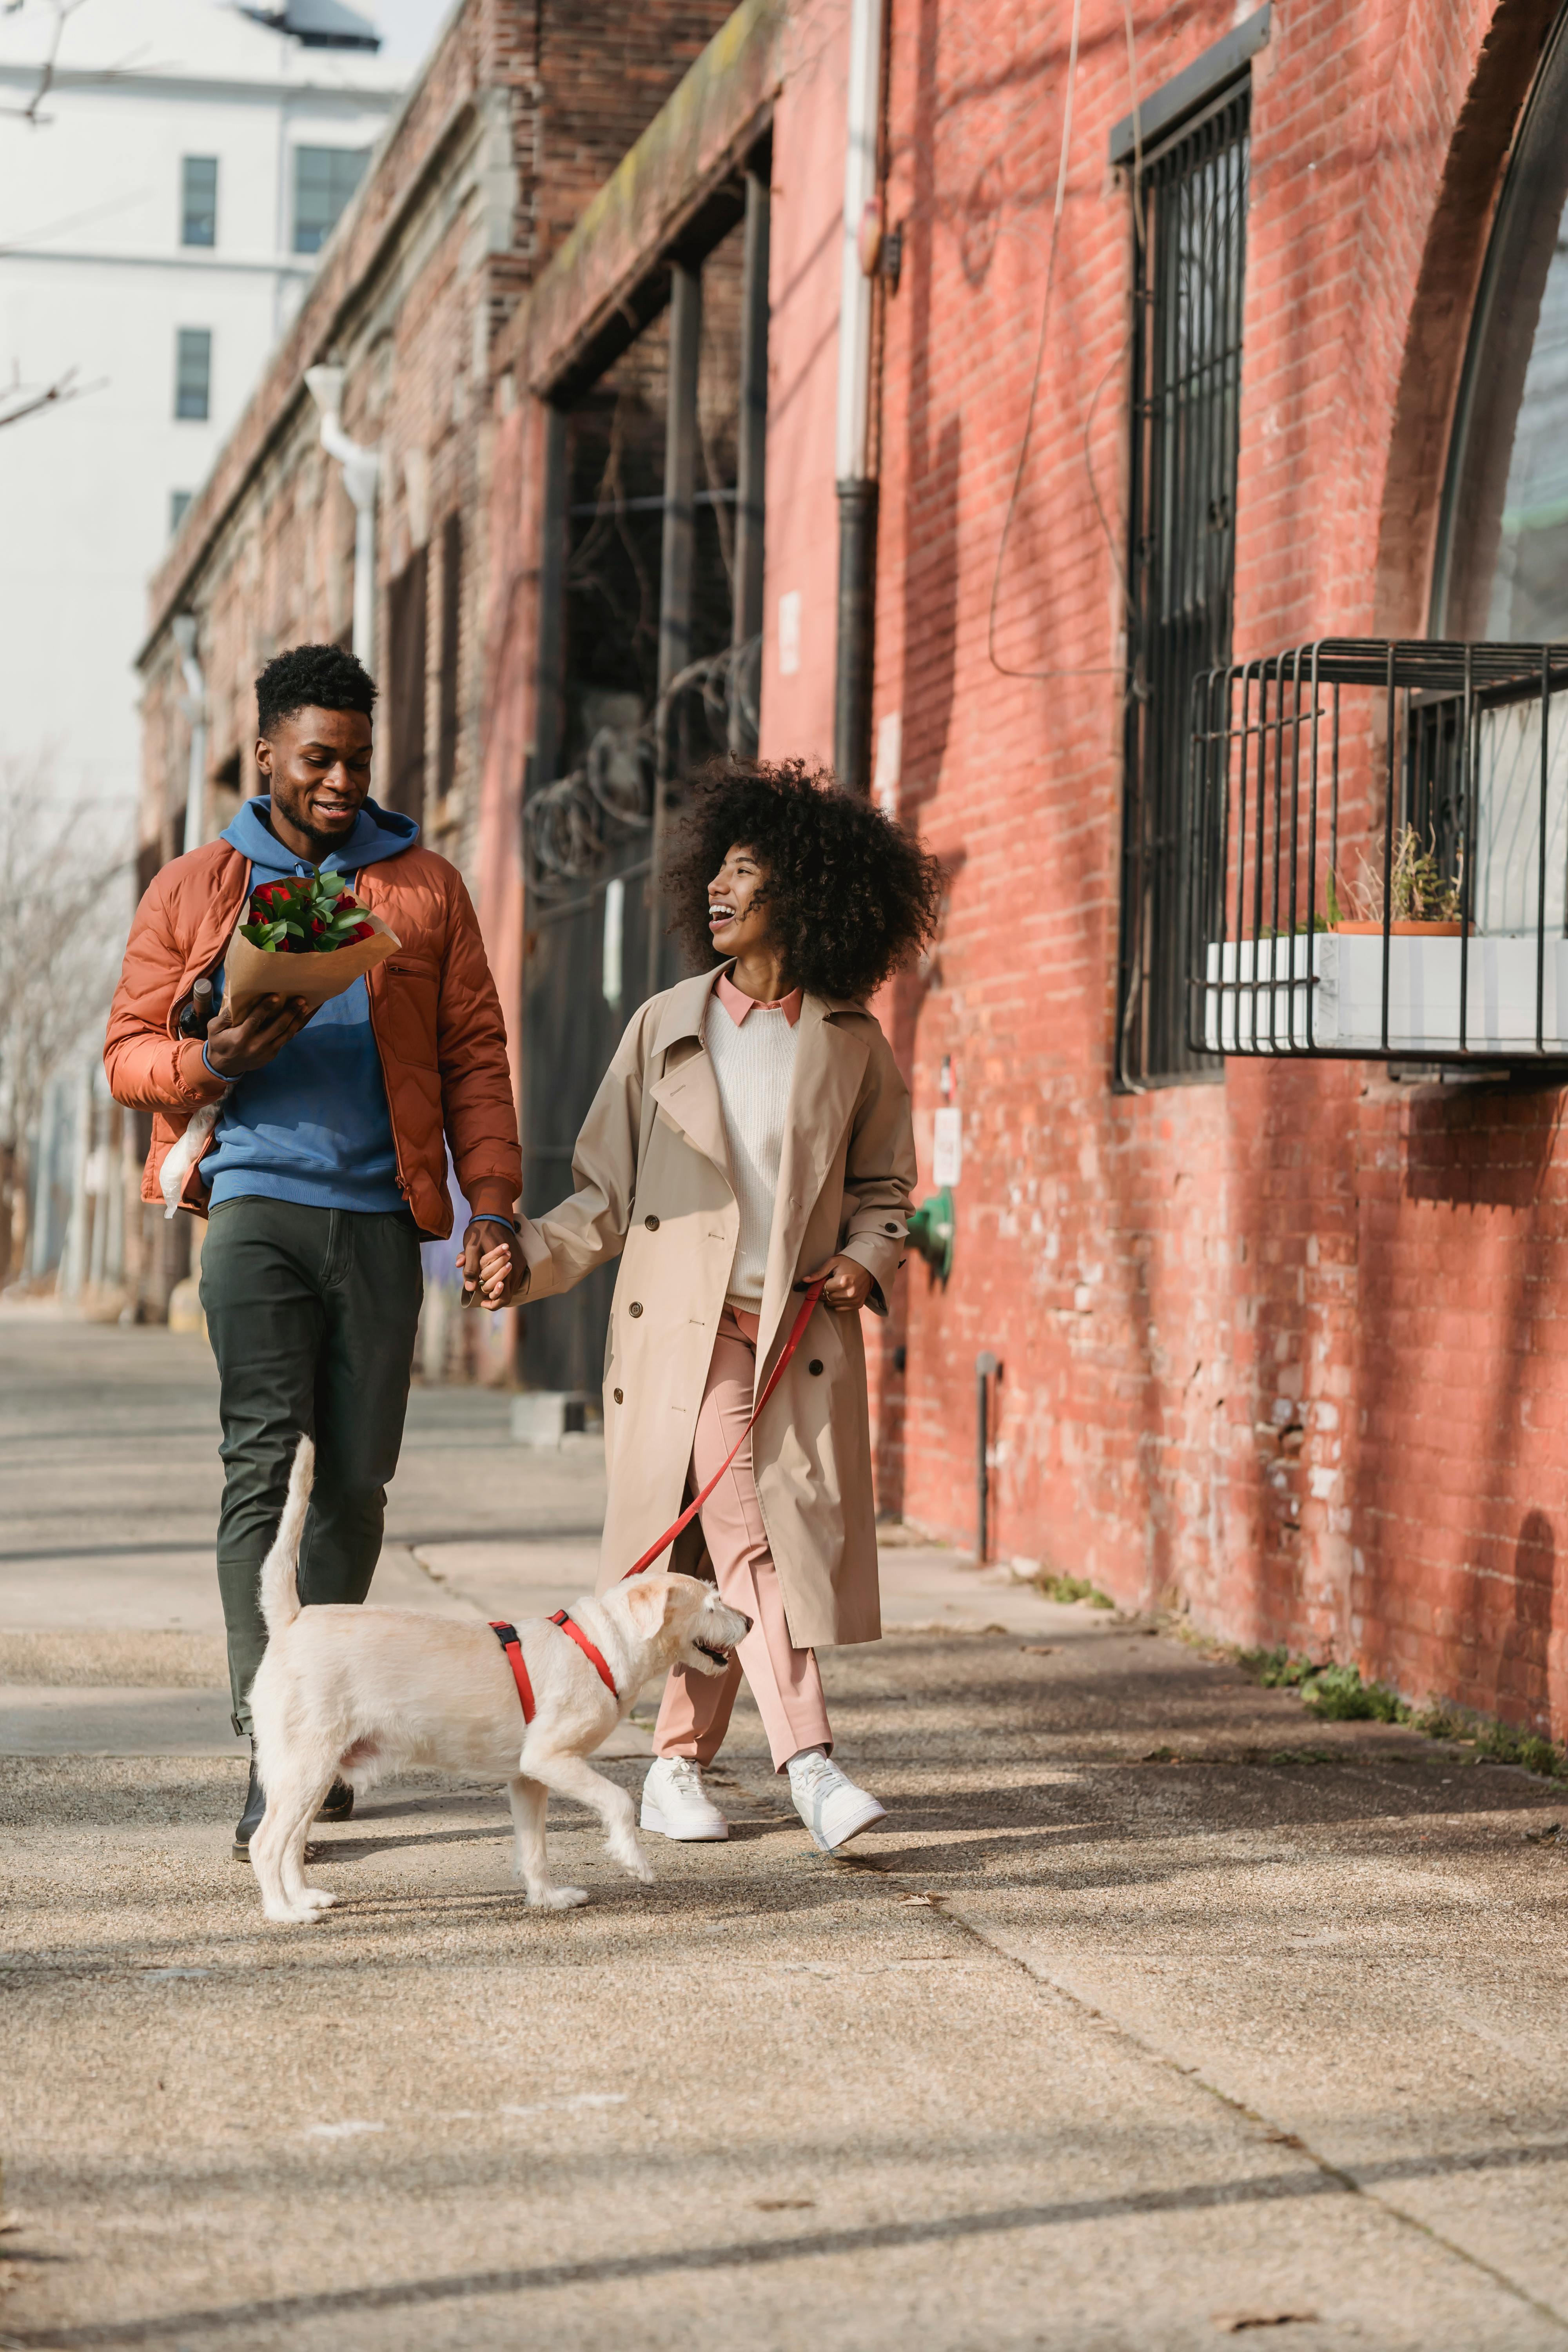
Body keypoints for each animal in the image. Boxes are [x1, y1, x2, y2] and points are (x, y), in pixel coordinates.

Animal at [245, 1439, 752, 1919]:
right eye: (711, 1605)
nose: (749, 1621)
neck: (599, 1645)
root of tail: (292, 1619)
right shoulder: (551, 1758)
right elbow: (617, 1800)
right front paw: (635, 1861)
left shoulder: (528, 1779)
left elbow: (534, 1848)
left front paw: (548, 1897)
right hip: (306, 1765)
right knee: (266, 1842)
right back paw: (284, 1912)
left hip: (313, 1774)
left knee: (291, 1842)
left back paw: (303, 1898)